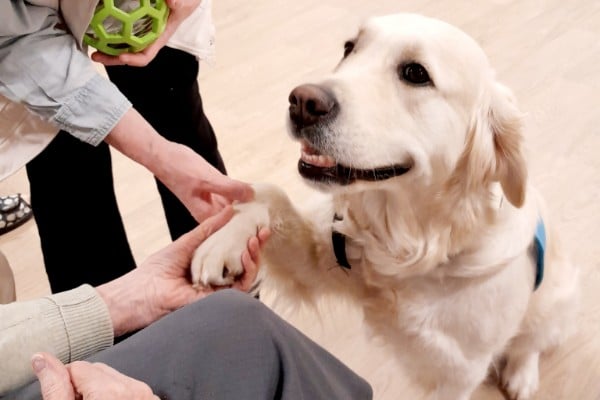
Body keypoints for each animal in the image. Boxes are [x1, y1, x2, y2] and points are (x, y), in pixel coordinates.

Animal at [191, 12, 576, 400]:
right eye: (350, 48)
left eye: (416, 73)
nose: (302, 101)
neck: (408, 245)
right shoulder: (324, 256)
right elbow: (270, 194)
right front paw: (223, 241)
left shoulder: (460, 371)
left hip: (556, 301)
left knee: (531, 342)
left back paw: (522, 375)